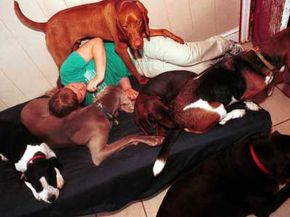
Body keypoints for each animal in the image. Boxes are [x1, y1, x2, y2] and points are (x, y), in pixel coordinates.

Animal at [13, 0, 184, 84]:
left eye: (139, 22)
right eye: (124, 27)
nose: (137, 45)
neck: (120, 5)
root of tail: (46, 24)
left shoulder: (142, 33)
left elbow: (164, 30)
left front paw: (178, 39)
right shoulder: (121, 47)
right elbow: (132, 67)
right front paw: (142, 81)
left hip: (74, 48)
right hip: (62, 58)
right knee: (59, 81)